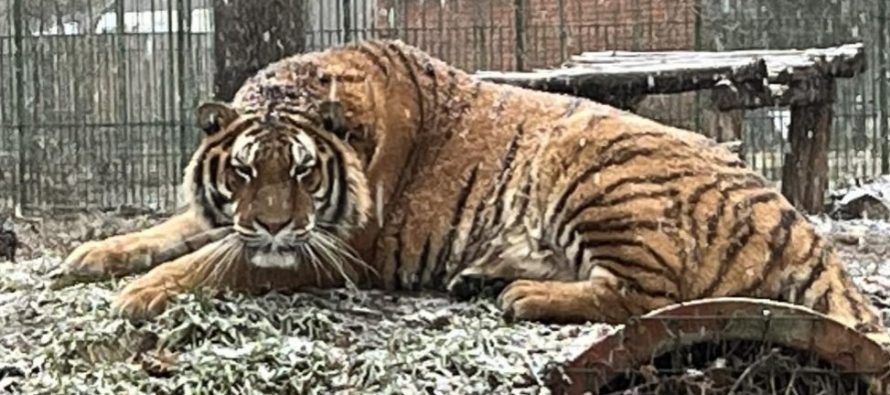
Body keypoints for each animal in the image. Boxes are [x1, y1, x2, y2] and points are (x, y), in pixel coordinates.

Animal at [57, 38, 888, 344]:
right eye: (241, 171)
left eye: (302, 172)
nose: (268, 225)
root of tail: (798, 222)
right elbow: (173, 230)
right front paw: (92, 255)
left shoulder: (335, 251)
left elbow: (214, 261)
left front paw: (141, 293)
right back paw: (484, 276)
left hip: (593, 167)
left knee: (648, 297)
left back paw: (521, 294)